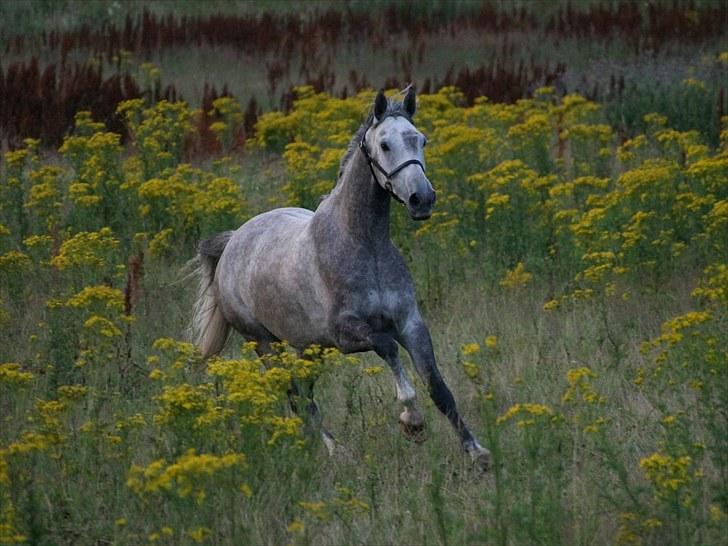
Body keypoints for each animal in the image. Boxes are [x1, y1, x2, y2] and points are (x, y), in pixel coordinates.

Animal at [191, 87, 492, 466]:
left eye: (421, 140)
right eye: (385, 145)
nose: (422, 199)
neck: (364, 245)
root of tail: (233, 241)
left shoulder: (411, 323)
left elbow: (438, 387)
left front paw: (477, 452)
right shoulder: (346, 333)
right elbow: (388, 347)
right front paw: (412, 422)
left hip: (310, 347)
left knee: (303, 393)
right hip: (264, 343)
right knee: (295, 394)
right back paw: (335, 450)